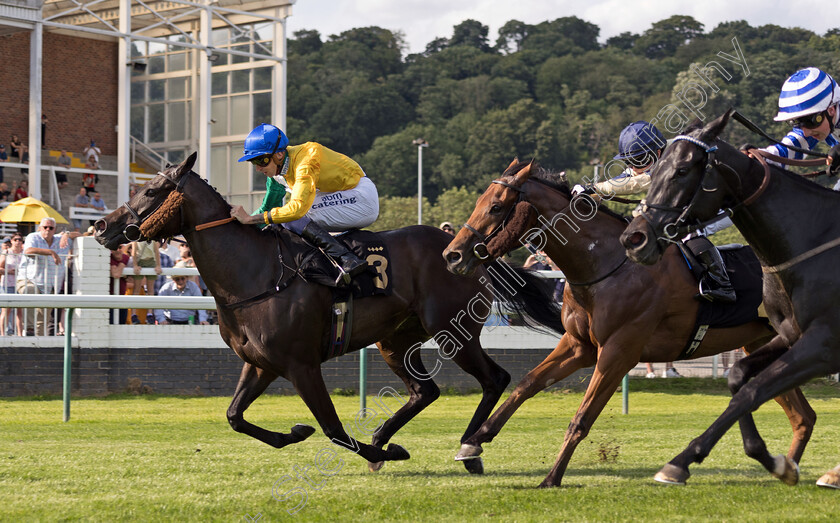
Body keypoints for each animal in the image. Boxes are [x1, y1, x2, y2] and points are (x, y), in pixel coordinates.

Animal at [92, 152, 564, 474]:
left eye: (151, 191)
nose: (100, 226)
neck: (256, 273)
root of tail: (469, 250)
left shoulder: (302, 365)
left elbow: (334, 429)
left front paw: (378, 451)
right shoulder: (259, 363)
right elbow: (235, 417)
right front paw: (297, 433)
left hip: (454, 329)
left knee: (494, 379)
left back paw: (469, 448)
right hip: (395, 340)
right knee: (424, 391)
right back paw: (388, 436)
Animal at [442, 158, 816, 490]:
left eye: (495, 206)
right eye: (479, 202)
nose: (452, 254)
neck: (606, 264)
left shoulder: (618, 353)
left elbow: (581, 419)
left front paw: (551, 478)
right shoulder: (579, 346)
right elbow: (527, 384)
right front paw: (473, 442)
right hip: (760, 344)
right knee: (802, 416)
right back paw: (787, 469)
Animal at [620, 111, 840, 492]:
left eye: (682, 170)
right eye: (655, 168)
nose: (635, 239)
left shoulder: (823, 345)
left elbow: (751, 392)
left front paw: (678, 463)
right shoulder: (789, 336)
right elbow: (738, 378)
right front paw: (776, 461)